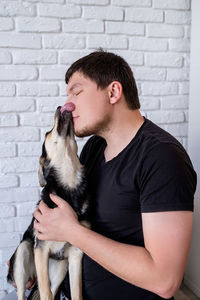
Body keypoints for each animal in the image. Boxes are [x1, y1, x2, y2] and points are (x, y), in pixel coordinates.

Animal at [7, 107, 90, 300]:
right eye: (47, 133)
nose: (60, 107)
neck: (69, 184)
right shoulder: (41, 250)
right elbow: (44, 291)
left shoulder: (76, 255)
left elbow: (76, 292)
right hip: (23, 253)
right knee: (24, 292)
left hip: (61, 267)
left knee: (53, 291)